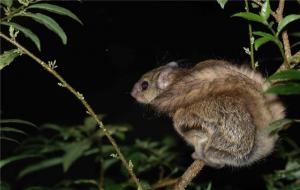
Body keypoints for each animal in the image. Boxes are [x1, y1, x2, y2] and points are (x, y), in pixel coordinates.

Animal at [132, 59, 286, 168]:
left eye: (144, 85)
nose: (132, 93)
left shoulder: (190, 122)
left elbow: (198, 134)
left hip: (221, 146)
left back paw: (200, 156)